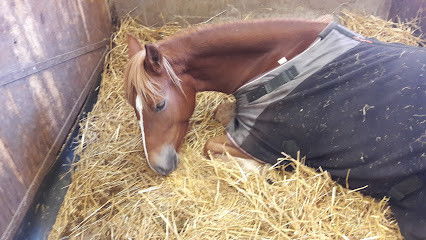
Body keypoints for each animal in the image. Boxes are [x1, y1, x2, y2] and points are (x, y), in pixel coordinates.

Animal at [123, 16, 330, 174]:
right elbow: (221, 112)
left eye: (160, 105)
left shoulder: (266, 142)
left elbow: (209, 145)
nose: (157, 167)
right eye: (133, 107)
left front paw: (256, 168)